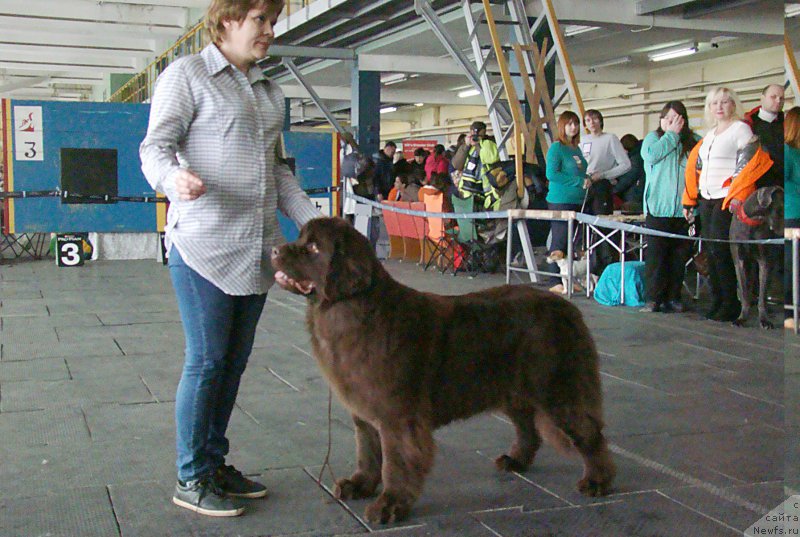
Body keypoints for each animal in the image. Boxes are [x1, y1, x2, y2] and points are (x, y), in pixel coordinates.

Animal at [272, 216, 616, 520]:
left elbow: (394, 462)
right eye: (300, 239)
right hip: (514, 391)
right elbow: (368, 452)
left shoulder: (397, 416)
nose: (274, 250)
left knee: (590, 433)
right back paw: (515, 461)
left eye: (313, 248)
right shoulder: (365, 414)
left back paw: (597, 481)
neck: (351, 309)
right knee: (528, 429)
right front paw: (360, 485)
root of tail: (568, 308)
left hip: (556, 389)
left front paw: (389, 505)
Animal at [728, 186, 784, 328]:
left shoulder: (765, 261)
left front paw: (764, 320)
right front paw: (741, 318)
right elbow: (744, 290)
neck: (752, 222)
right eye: (780, 209)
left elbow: (763, 294)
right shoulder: (740, 261)